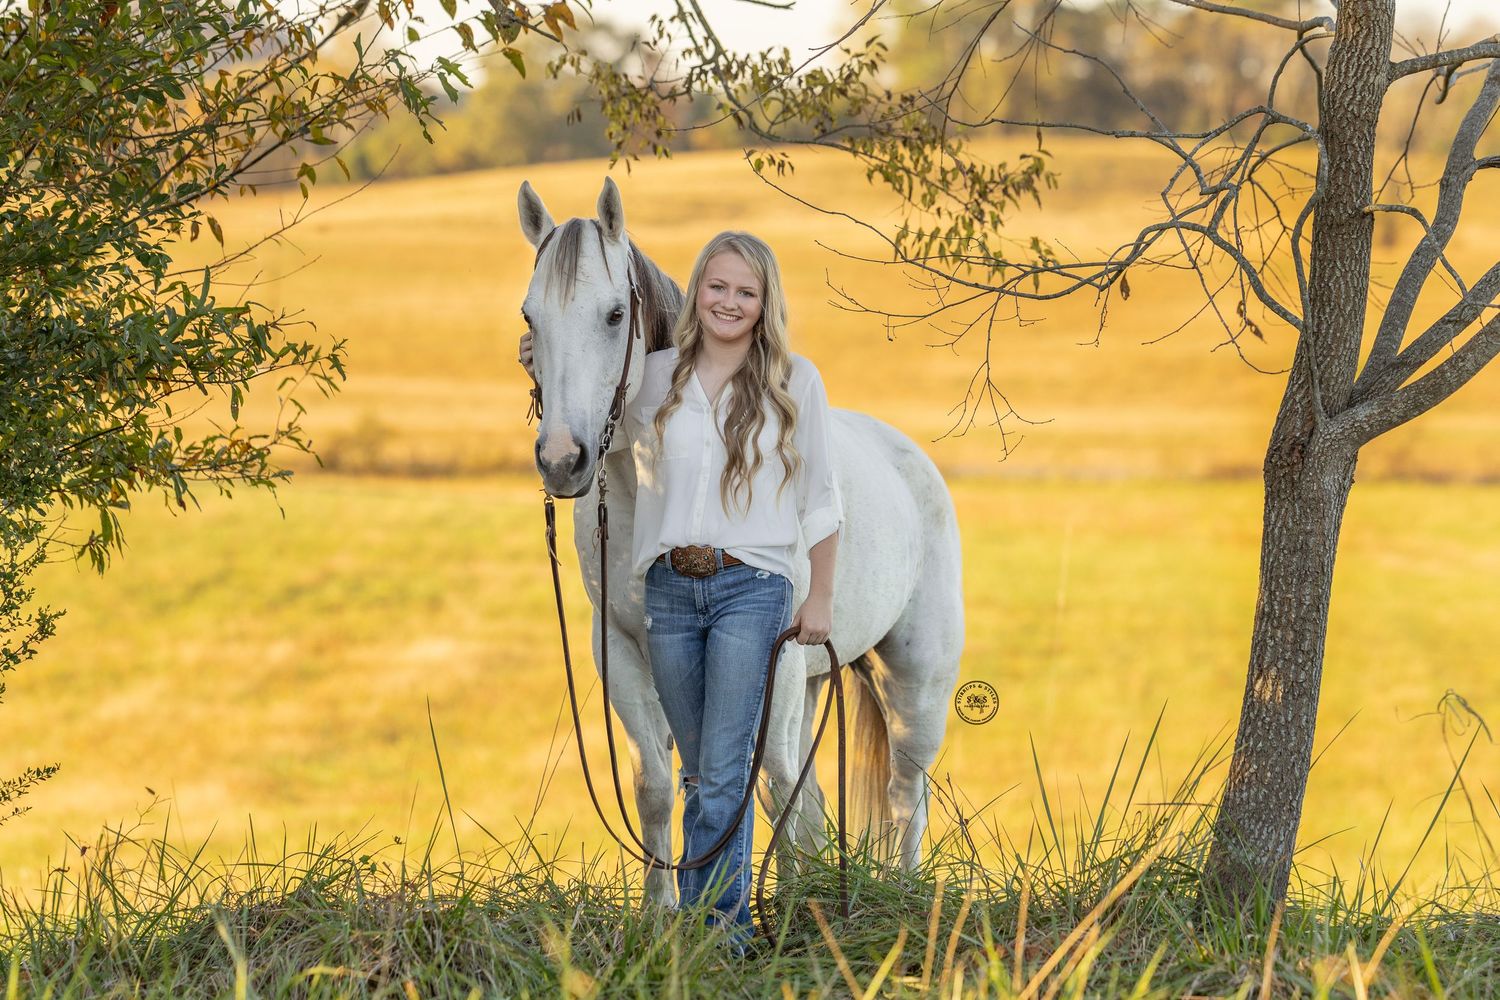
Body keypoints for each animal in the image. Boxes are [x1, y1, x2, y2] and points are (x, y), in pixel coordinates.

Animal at [518, 176, 964, 907]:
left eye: (614, 315)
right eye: (531, 320)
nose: (562, 460)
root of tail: (910, 458)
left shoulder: (772, 657)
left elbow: (774, 784)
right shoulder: (623, 649)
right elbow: (657, 785)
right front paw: (663, 912)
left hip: (914, 676)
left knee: (903, 792)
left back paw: (903, 895)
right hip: (813, 681)